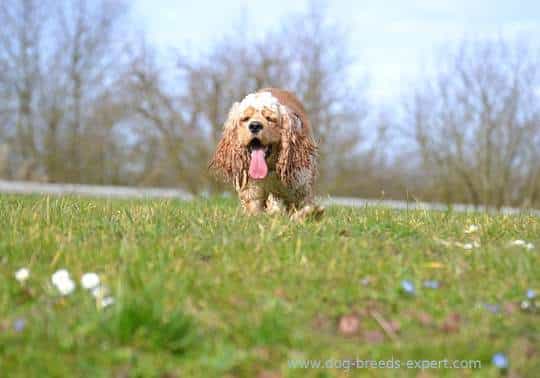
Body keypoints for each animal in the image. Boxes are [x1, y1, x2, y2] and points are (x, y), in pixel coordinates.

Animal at [209, 87, 322, 220]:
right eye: (245, 118)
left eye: (270, 118)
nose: (254, 126)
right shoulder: (252, 193)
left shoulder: (299, 189)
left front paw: (309, 214)